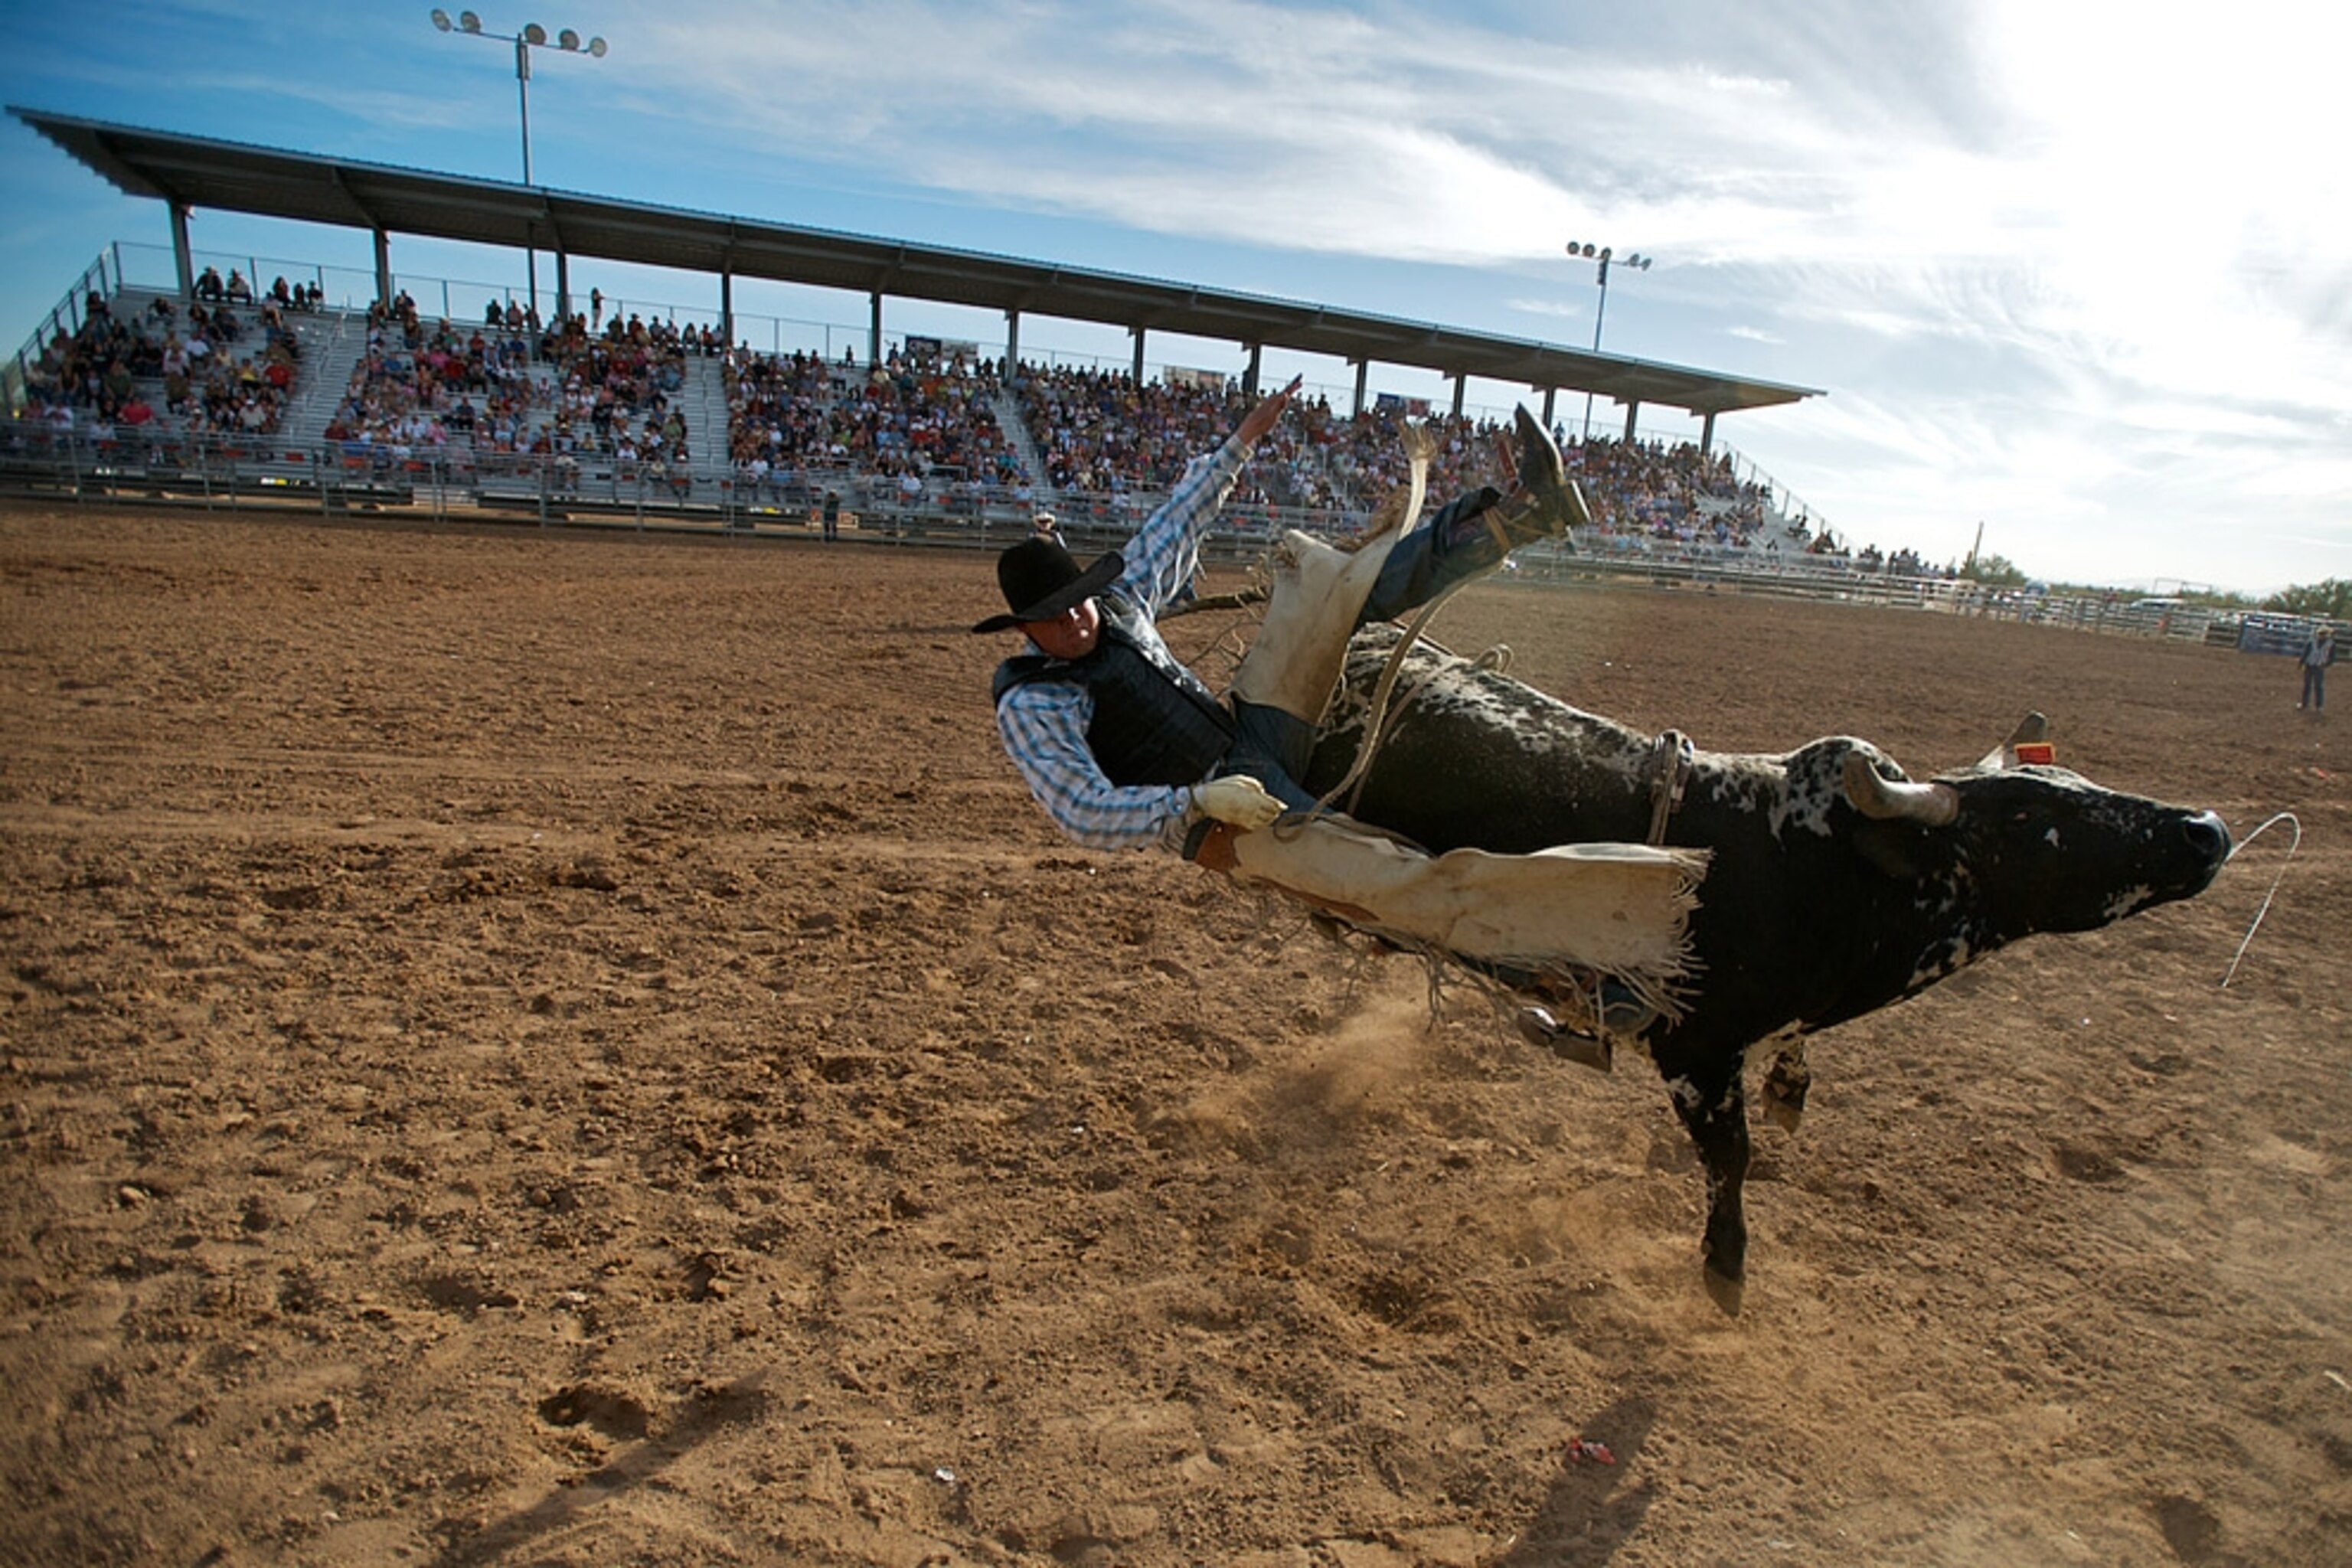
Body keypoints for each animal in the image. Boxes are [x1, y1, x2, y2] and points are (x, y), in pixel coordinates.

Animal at [1302, 623, 2233, 1312]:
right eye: (2034, 817)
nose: (2206, 829)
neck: (1815, 864)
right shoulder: (1698, 1053)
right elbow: (1732, 1156)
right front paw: (1727, 1266)